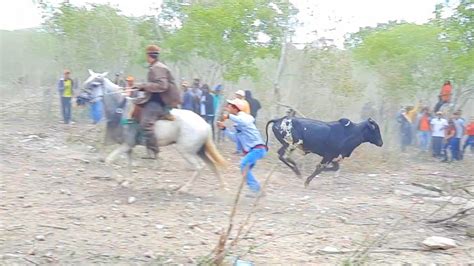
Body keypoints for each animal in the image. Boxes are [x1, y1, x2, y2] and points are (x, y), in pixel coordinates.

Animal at [81, 69, 228, 192]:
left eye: (94, 84)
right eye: (87, 81)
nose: (80, 98)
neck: (121, 109)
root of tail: (205, 124)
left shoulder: (126, 145)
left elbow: (109, 160)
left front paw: (119, 180)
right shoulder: (128, 147)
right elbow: (128, 164)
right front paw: (127, 181)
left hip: (187, 151)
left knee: (199, 167)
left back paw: (184, 188)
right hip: (200, 150)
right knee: (212, 165)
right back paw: (222, 187)